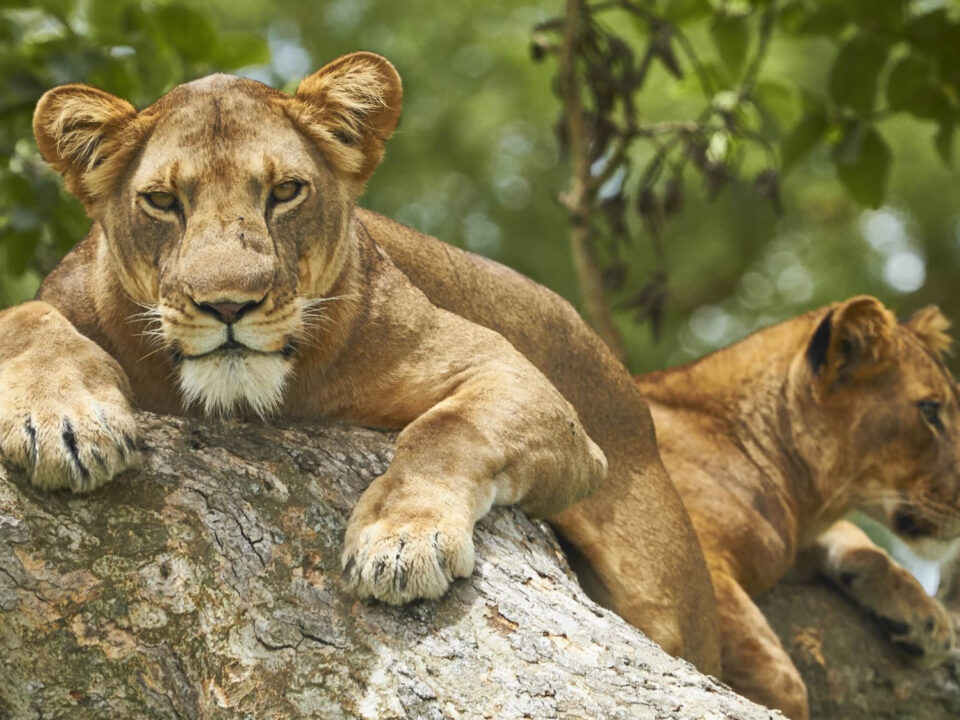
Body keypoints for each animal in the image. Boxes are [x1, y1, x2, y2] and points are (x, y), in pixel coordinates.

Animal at [0, 52, 721, 672]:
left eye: (285, 192)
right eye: (162, 201)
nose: (228, 305)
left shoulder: (514, 376)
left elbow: (446, 429)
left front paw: (400, 541)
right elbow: (23, 319)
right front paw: (67, 426)